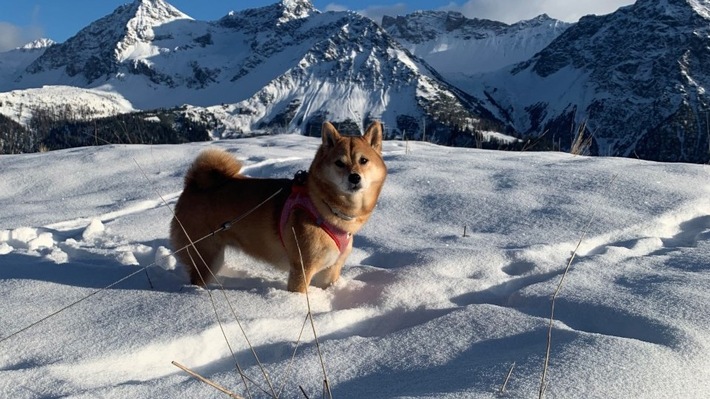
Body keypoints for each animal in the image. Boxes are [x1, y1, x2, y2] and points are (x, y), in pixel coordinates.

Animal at [170, 120, 386, 292]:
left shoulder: (330, 271)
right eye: (339, 163)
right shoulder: (302, 269)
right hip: (205, 256)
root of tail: (193, 185)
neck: (323, 206)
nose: (354, 177)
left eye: (363, 160)